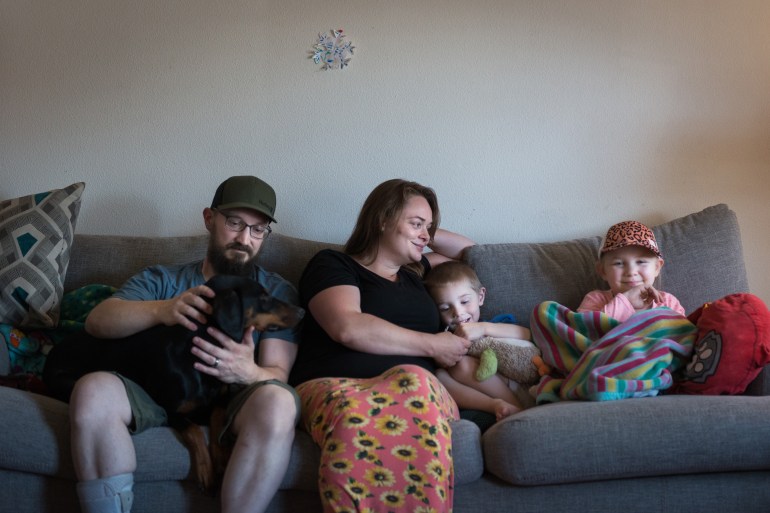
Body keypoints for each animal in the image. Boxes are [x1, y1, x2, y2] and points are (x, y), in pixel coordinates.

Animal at [42, 274, 304, 494]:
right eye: (263, 297)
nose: (301, 311)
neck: (195, 356)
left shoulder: (220, 401)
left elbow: (217, 418)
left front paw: (220, 458)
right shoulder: (169, 410)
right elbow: (195, 429)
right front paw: (206, 470)